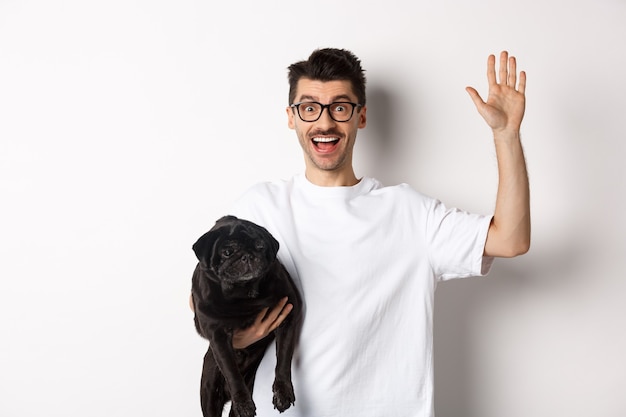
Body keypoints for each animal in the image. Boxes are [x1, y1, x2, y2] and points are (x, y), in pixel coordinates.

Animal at [189, 216, 302, 414]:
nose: (248, 255)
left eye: (260, 246)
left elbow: (283, 359)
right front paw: (243, 403)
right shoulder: (218, 337)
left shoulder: (287, 317)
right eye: (227, 252)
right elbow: (232, 372)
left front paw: (282, 392)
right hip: (209, 390)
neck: (242, 294)